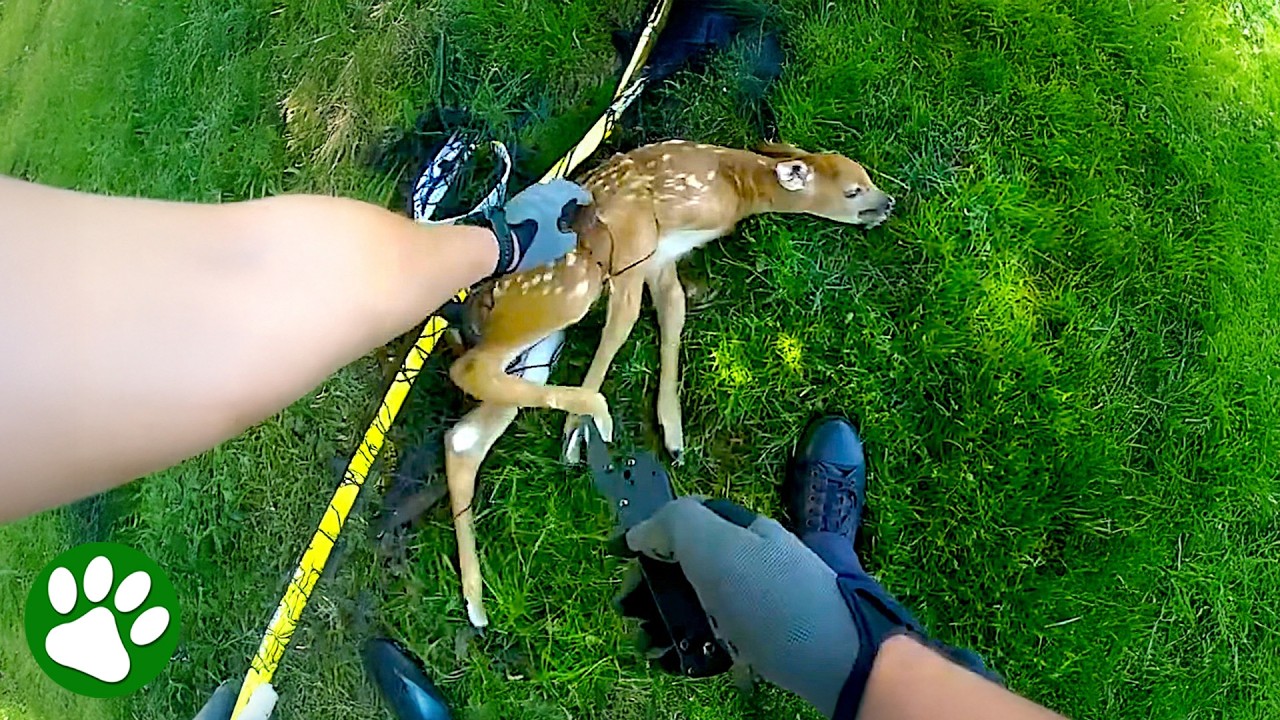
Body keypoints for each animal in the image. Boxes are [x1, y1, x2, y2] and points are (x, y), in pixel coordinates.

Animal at [441, 140, 895, 627]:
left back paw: (475, 604)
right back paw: (594, 412)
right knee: (470, 371)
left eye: (866, 175)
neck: (731, 185)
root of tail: (476, 305)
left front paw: (670, 433)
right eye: (852, 191)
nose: (887, 202)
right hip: (561, 291)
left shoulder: (661, 259)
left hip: (540, 342)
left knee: (465, 435)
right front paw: (578, 434)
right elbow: (623, 322)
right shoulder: (633, 233)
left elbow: (672, 313)